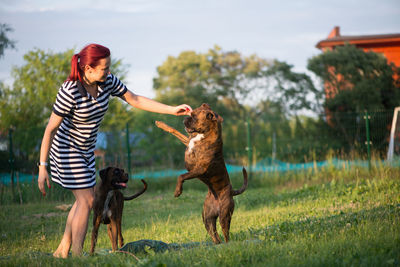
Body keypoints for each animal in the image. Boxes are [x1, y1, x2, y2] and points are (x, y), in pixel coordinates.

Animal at [155, 103, 247, 245]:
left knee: (226, 235)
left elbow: (181, 176)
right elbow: (174, 131)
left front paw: (178, 191)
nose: (184, 119)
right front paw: (160, 124)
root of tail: (231, 191)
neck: (204, 134)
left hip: (224, 216)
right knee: (216, 236)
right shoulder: (187, 142)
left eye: (194, 117)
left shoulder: (199, 169)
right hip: (207, 219)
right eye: (190, 114)